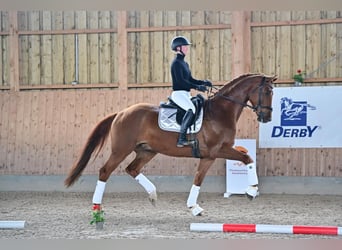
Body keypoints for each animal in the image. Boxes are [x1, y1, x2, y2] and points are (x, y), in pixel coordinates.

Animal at [65, 73, 276, 217]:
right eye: (266, 91)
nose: (266, 117)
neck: (220, 112)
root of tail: (121, 113)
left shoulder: (210, 155)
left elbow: (202, 176)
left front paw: (194, 207)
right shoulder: (216, 151)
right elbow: (243, 159)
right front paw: (251, 191)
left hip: (147, 151)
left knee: (132, 169)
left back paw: (152, 194)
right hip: (121, 150)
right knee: (105, 171)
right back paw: (96, 209)